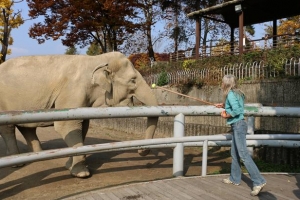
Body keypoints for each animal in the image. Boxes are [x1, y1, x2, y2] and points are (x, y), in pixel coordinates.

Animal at [0, 52, 159, 178]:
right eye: (133, 80)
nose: (142, 152)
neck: (97, 60)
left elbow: (82, 126)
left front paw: (68, 166)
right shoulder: (73, 90)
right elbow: (66, 125)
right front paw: (82, 174)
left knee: (26, 127)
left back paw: (37, 155)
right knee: (8, 129)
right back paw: (17, 163)